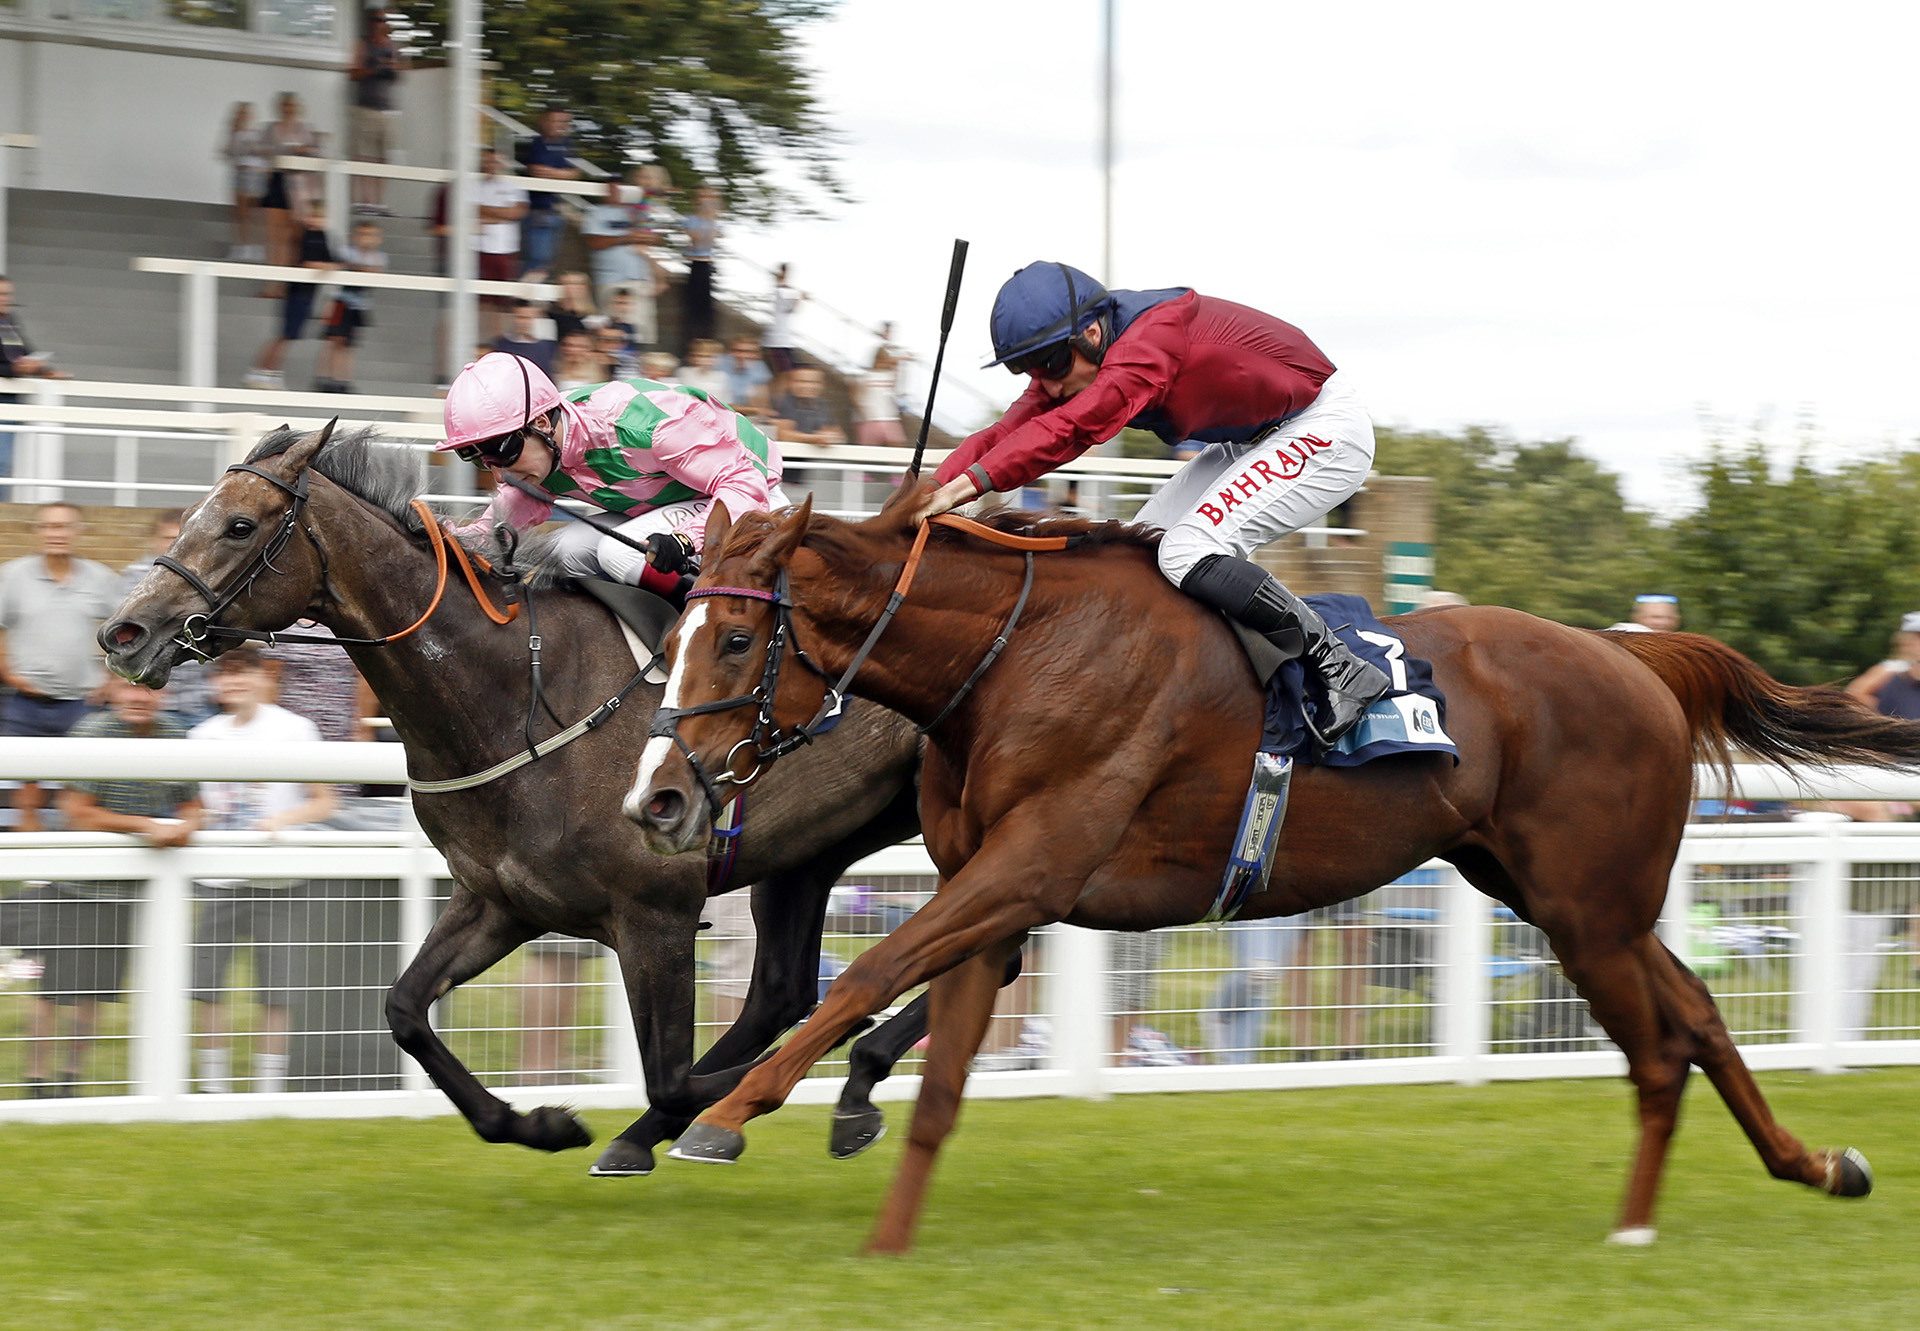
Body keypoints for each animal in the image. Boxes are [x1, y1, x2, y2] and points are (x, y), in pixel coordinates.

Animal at [633, 482, 1920, 1252]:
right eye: (675, 632)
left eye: (736, 637)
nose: (657, 795)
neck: (1013, 656)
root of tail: (1637, 657)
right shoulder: (990, 890)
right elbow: (937, 1074)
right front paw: (888, 1237)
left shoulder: (1028, 869)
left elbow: (859, 981)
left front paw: (721, 1112)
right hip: (1553, 889)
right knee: (1698, 1009)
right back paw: (1821, 1163)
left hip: (1584, 908)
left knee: (1658, 1046)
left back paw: (1636, 1228)